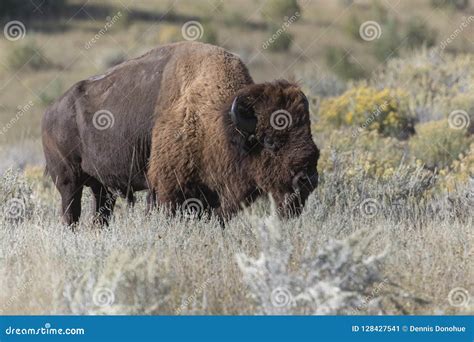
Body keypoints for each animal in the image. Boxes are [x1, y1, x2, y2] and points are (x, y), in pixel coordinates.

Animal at [42, 41, 320, 226]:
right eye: (271, 142)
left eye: (311, 139)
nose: (307, 179)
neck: (219, 122)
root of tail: (50, 112)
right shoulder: (166, 189)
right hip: (68, 181)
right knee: (70, 214)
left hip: (101, 187)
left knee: (101, 214)